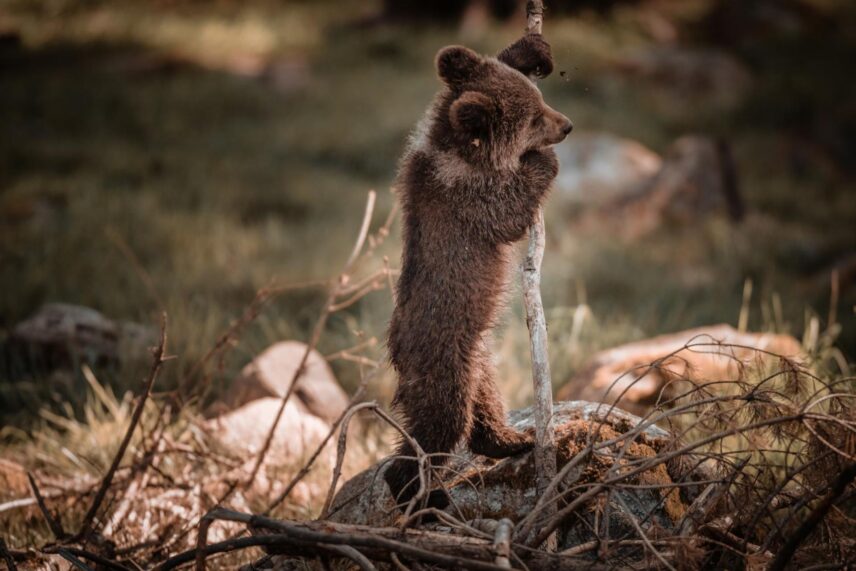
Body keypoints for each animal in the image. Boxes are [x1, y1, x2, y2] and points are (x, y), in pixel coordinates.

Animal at [384, 34, 572, 512]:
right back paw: (422, 496)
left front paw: (531, 49)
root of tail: (397, 354)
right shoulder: (467, 198)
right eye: (534, 119)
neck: (461, 151)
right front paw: (543, 161)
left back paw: (511, 439)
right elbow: (508, 210)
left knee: (483, 405)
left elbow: (476, 61)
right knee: (440, 424)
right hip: (443, 359)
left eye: (540, 100)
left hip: (480, 359)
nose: (567, 125)